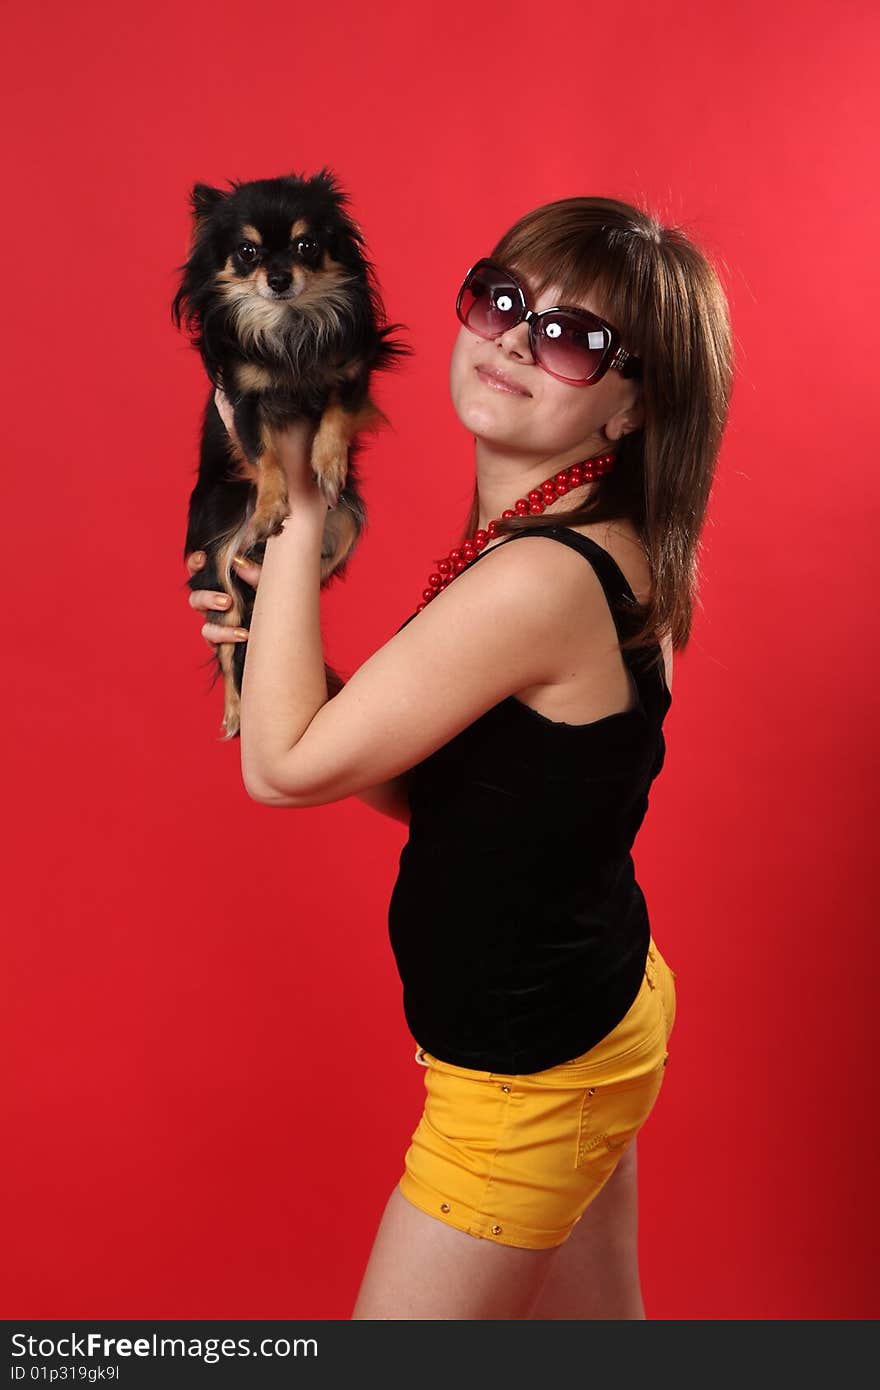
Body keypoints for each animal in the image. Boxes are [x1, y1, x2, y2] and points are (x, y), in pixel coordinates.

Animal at [171, 166, 411, 739]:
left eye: (307, 246)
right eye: (247, 252)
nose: (279, 278)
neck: (289, 325)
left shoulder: (349, 375)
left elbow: (334, 417)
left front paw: (328, 464)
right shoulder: (243, 401)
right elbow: (266, 457)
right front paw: (270, 506)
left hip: (345, 526)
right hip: (217, 562)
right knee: (230, 641)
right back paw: (236, 712)